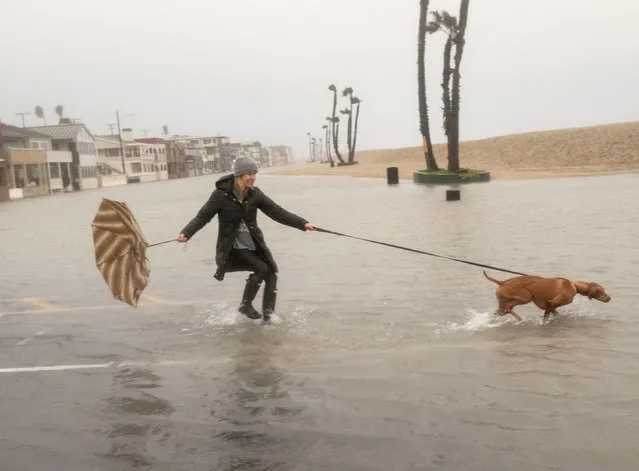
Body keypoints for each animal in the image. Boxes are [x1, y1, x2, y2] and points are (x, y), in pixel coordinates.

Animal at [482, 272, 612, 322]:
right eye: (602, 291)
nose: (610, 298)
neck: (574, 285)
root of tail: (503, 282)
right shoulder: (552, 303)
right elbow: (546, 317)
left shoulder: (550, 306)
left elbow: (554, 314)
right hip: (526, 297)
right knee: (509, 307)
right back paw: (519, 318)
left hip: (502, 303)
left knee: (501, 310)